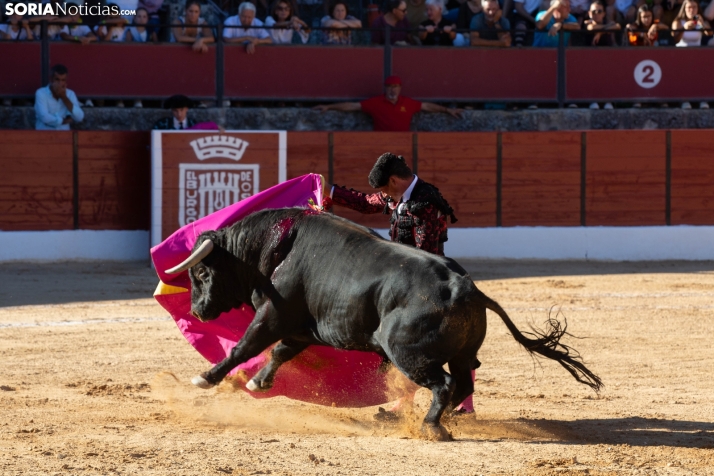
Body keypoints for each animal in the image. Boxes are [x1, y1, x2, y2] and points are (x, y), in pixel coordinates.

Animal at [167, 208, 600, 438]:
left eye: (201, 273)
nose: (198, 311)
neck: (274, 250)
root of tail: (466, 289)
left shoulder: (274, 315)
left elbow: (247, 345)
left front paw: (206, 378)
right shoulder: (302, 328)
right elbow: (279, 353)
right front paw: (258, 382)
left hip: (409, 354)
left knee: (443, 384)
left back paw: (430, 427)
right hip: (461, 354)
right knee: (462, 383)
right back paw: (434, 419)